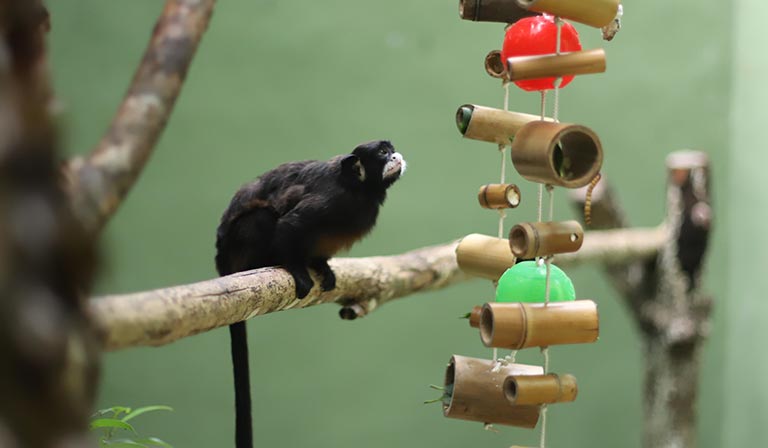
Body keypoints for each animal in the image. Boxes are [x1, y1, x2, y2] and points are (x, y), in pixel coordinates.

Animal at [214, 140, 405, 448]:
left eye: (391, 149)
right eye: (382, 154)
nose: (396, 156)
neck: (357, 188)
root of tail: (222, 262)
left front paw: (321, 266)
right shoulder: (327, 201)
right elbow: (288, 225)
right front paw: (295, 268)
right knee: (262, 217)